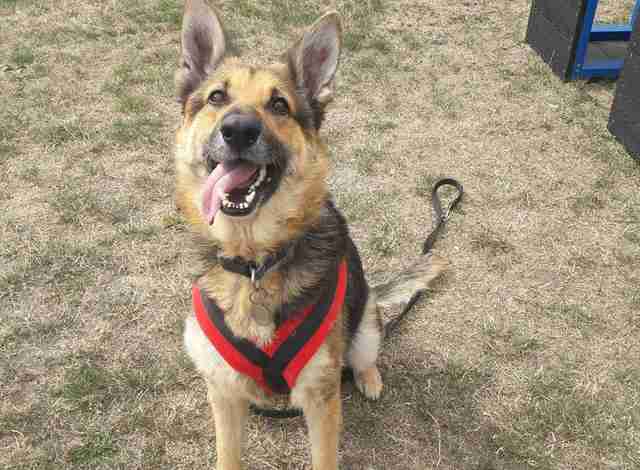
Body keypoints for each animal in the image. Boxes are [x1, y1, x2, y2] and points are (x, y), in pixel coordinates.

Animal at [174, 1, 444, 468]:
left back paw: (369, 378)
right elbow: (228, 453)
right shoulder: (222, 392)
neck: (255, 262)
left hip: (365, 325)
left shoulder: (321, 397)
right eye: (217, 98)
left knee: (364, 354)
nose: (239, 129)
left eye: (279, 105)